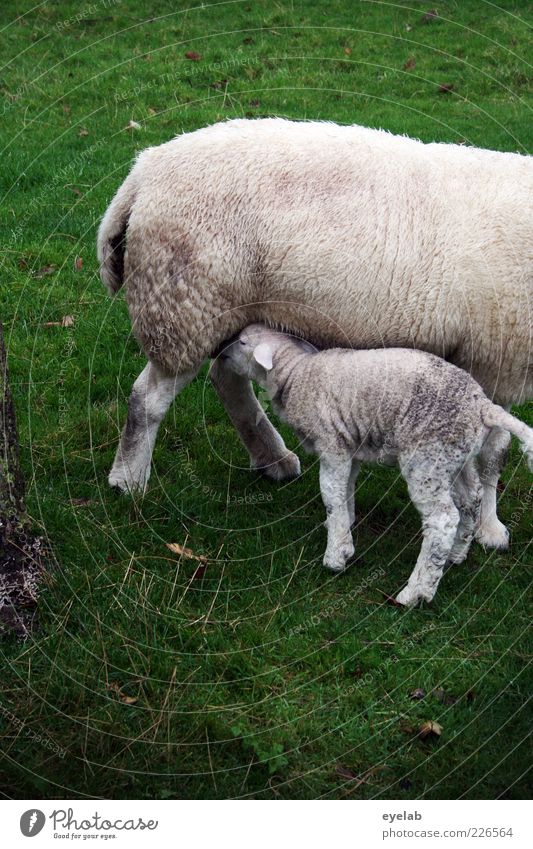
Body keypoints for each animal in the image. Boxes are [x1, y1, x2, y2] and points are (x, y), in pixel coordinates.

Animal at [96, 117, 532, 548]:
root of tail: (143, 171)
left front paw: (485, 524)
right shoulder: (497, 359)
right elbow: (493, 454)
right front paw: (490, 529)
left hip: (225, 310)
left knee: (227, 378)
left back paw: (272, 459)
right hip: (184, 306)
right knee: (149, 397)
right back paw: (128, 480)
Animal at [219, 322, 532, 608]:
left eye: (243, 342)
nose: (220, 353)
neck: (297, 373)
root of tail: (482, 405)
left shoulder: (332, 445)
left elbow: (331, 494)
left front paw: (336, 554)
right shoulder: (350, 445)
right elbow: (345, 489)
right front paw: (344, 526)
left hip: (427, 459)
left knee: (442, 520)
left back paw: (416, 592)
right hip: (454, 457)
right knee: (471, 498)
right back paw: (456, 553)